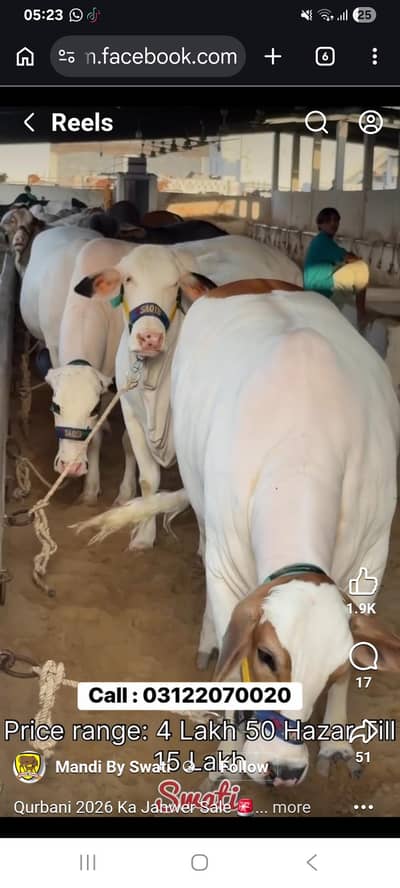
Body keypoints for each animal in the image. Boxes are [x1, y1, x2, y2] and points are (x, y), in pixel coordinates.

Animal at [71, 235, 303, 546]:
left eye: (174, 285)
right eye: (128, 279)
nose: (149, 337)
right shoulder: (131, 414)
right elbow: (148, 479)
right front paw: (144, 535)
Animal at [71, 284, 400, 786]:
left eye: (331, 667)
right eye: (266, 656)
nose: (283, 769)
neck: (301, 453)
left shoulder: (372, 558)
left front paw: (337, 743)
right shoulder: (228, 566)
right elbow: (230, 673)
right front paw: (229, 757)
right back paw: (208, 640)